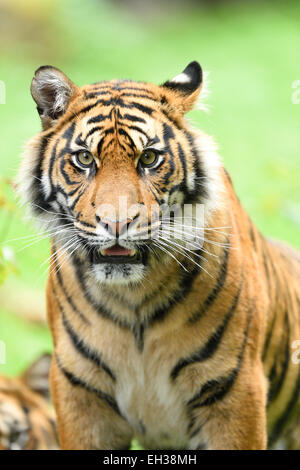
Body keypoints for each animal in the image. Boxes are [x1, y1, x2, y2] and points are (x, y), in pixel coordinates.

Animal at [17, 60, 300, 450]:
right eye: (85, 158)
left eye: (149, 158)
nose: (116, 222)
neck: (133, 300)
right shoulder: (79, 389)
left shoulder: (234, 386)